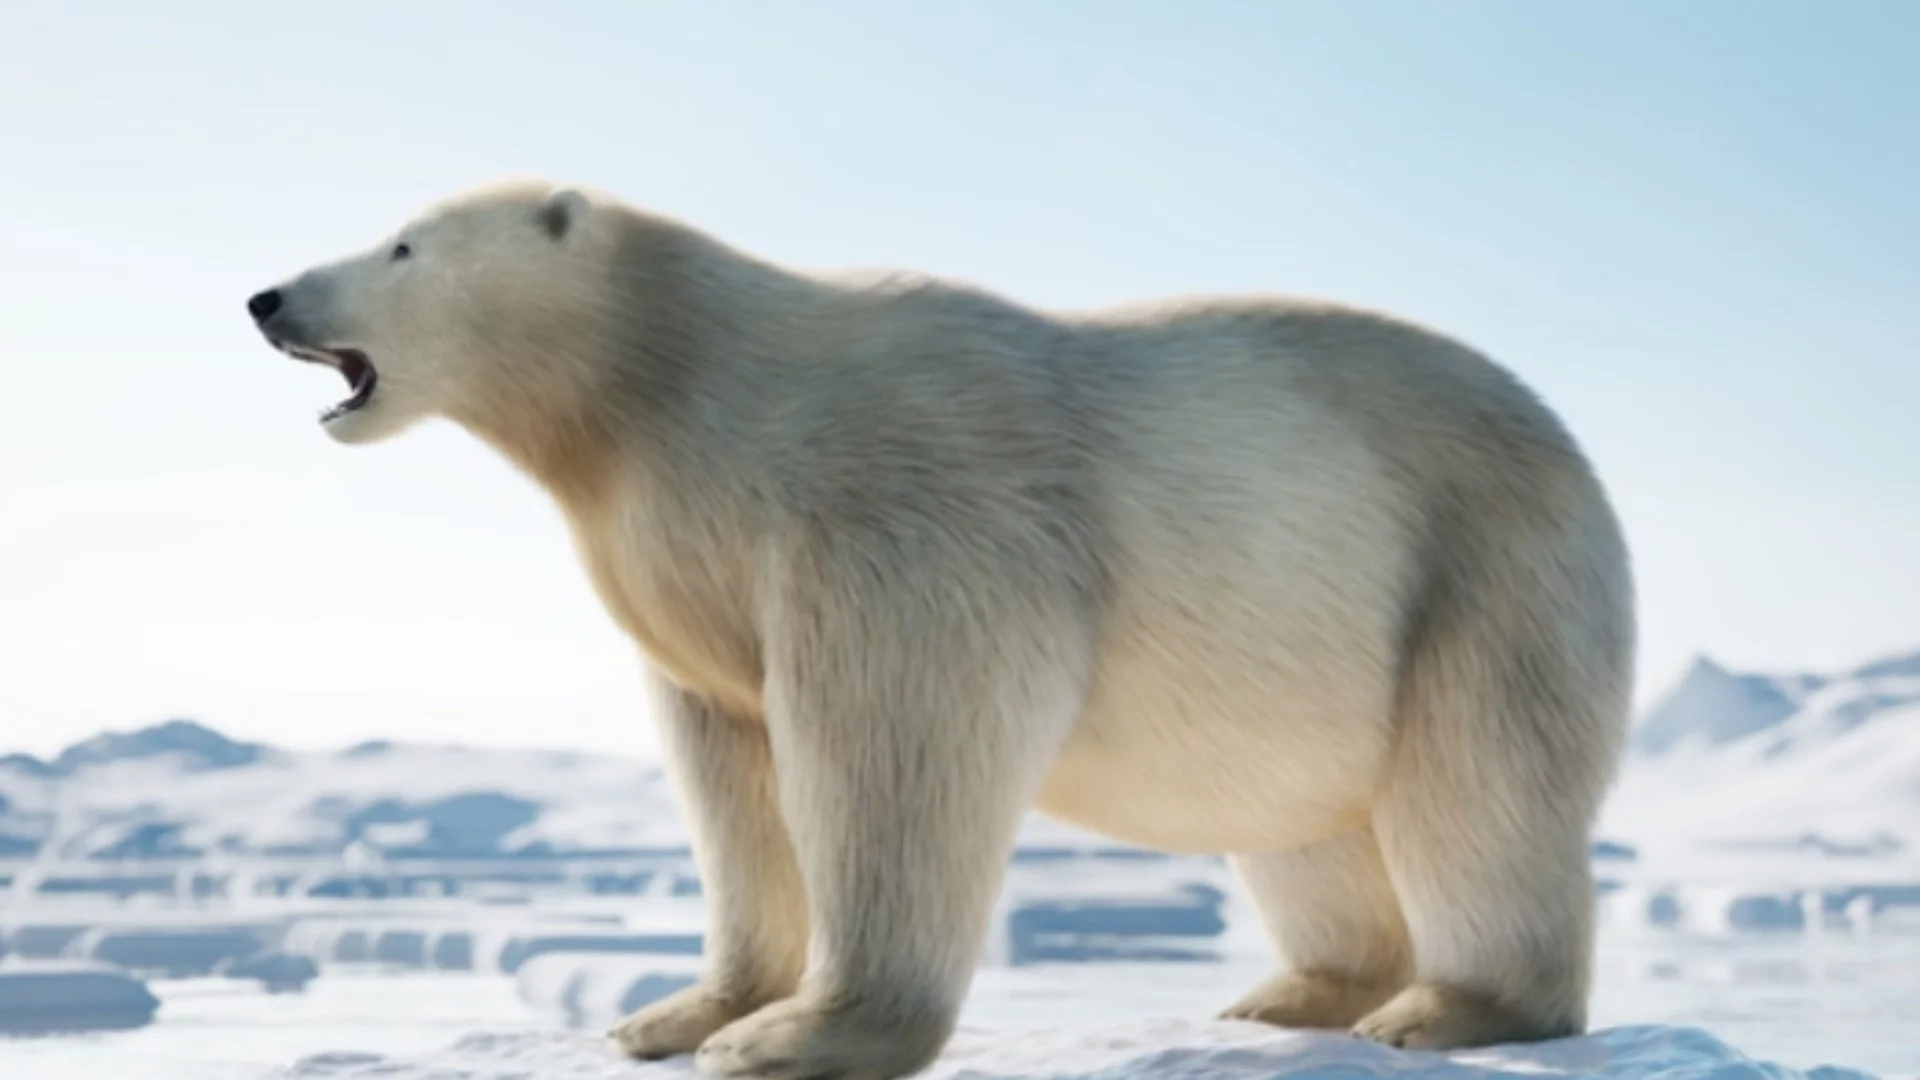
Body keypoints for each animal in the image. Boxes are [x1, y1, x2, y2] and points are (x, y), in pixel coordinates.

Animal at [247, 180, 1635, 1068]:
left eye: (402, 245)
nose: (267, 297)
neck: (669, 382)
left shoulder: (891, 506)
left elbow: (894, 740)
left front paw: (801, 1035)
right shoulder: (685, 569)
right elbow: (729, 771)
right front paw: (677, 1014)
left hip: (1482, 566)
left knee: (1476, 789)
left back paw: (1450, 1009)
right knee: (1306, 819)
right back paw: (1292, 996)